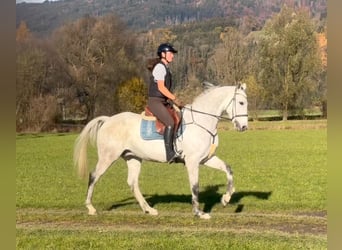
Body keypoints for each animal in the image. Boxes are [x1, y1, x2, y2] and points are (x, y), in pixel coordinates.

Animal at [73, 82, 247, 219]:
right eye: (241, 103)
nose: (244, 127)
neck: (202, 121)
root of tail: (108, 120)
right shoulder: (192, 162)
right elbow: (195, 186)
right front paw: (199, 213)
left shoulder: (206, 159)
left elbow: (228, 170)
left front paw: (226, 198)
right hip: (108, 156)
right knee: (94, 176)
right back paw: (90, 208)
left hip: (133, 157)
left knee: (133, 182)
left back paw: (149, 209)